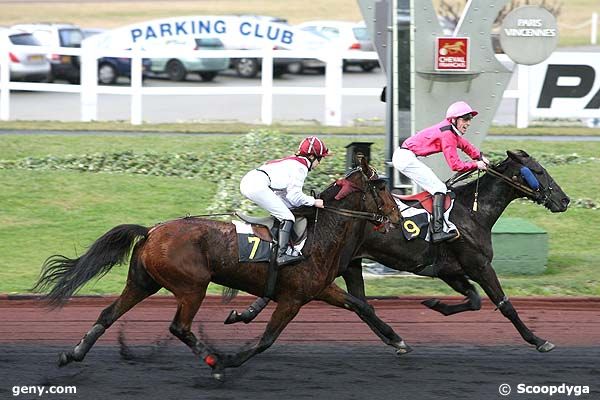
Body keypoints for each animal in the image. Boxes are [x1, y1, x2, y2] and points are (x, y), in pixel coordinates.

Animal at [34, 161, 408, 380]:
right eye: (382, 187)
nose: (397, 217)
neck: (318, 233)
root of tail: (152, 230)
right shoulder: (295, 298)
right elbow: (266, 340)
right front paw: (229, 359)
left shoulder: (318, 290)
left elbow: (360, 306)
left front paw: (398, 340)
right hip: (192, 286)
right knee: (179, 327)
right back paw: (214, 363)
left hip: (143, 282)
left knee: (108, 314)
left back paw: (73, 353)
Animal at [340, 151, 568, 354]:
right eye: (538, 171)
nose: (565, 200)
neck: (472, 212)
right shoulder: (480, 266)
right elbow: (504, 305)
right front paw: (538, 340)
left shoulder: (449, 270)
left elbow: (474, 300)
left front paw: (435, 304)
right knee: (358, 303)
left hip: (352, 264)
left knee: (361, 304)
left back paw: (393, 339)